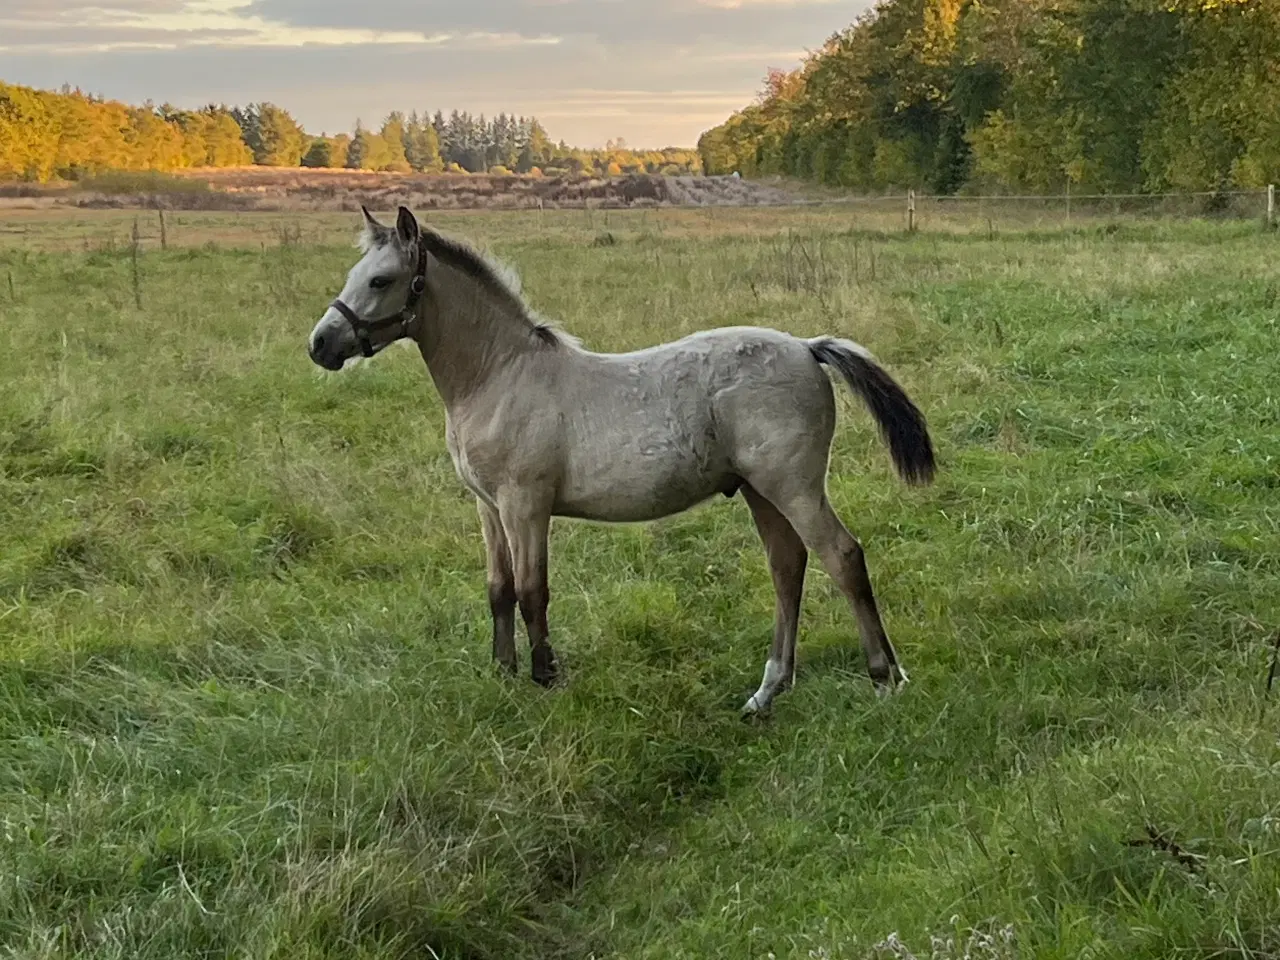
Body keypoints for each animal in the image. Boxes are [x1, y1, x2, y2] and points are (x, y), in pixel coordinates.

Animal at [304, 207, 936, 716]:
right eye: (353, 275)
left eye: (381, 280)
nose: (320, 345)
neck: (499, 375)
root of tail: (806, 347)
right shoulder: (487, 508)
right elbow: (498, 589)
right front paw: (503, 673)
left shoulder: (524, 504)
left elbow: (532, 589)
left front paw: (545, 677)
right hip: (761, 490)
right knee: (788, 566)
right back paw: (767, 691)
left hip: (794, 486)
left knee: (842, 557)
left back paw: (885, 677)